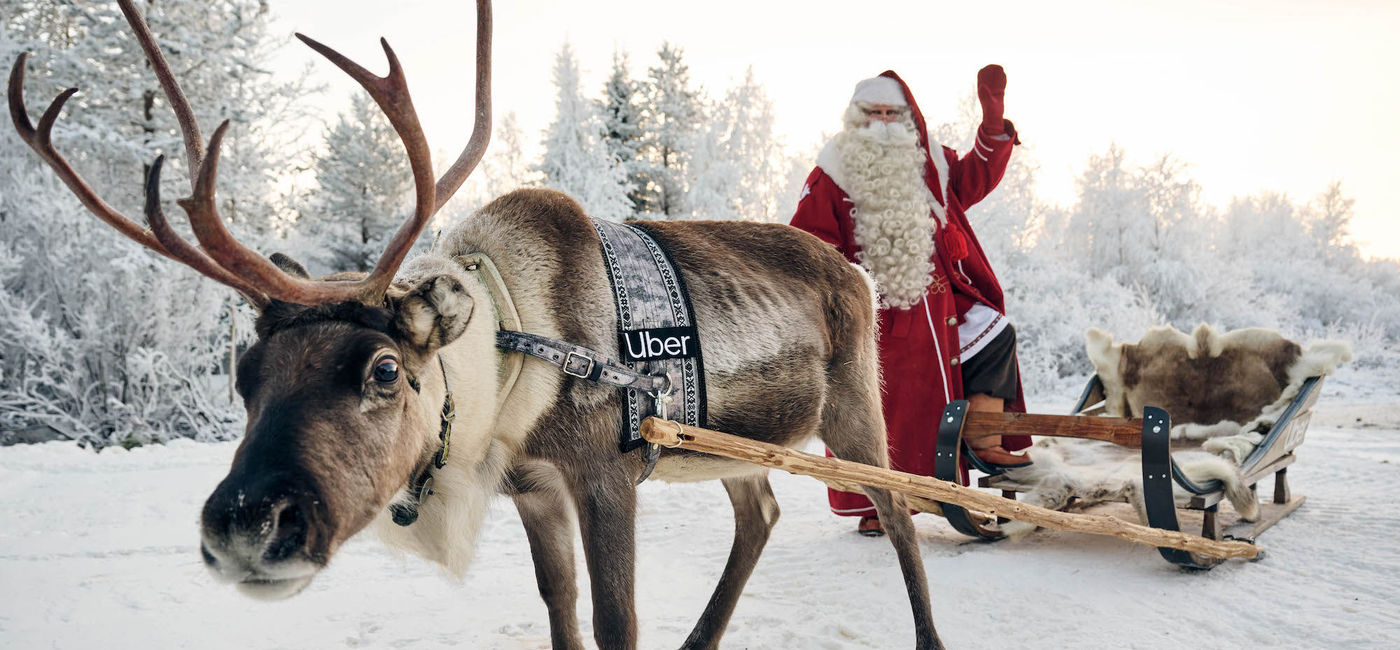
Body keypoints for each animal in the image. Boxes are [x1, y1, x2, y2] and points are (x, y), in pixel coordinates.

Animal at [7, 1, 941, 648]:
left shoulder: (606, 474)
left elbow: (616, 622)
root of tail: (852, 268)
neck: (513, 344)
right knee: (762, 513)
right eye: (243, 375)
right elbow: (561, 610)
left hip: (854, 407)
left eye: (384, 369)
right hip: (723, 445)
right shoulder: (534, 488)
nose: (247, 523)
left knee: (899, 511)